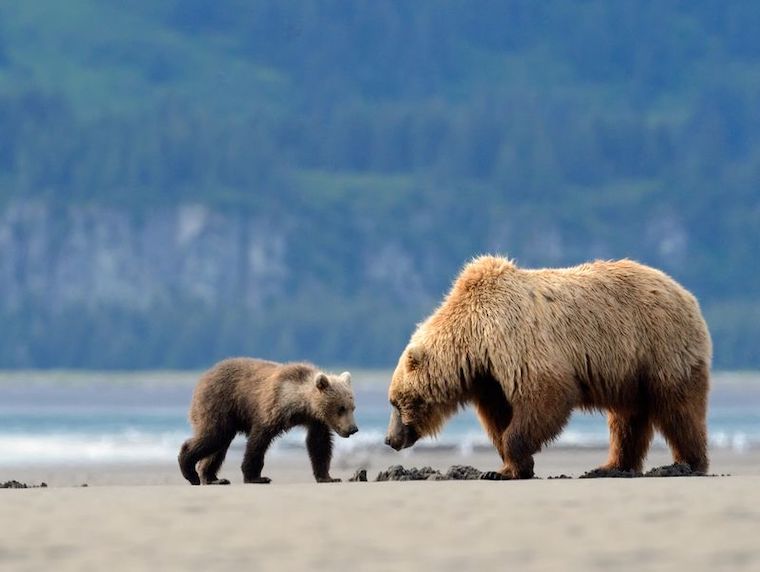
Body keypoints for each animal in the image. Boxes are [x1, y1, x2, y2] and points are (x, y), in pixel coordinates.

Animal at [179, 358, 358, 485]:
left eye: (352, 407)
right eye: (340, 408)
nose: (353, 429)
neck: (300, 404)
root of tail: (204, 376)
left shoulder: (315, 421)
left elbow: (319, 444)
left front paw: (328, 477)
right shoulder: (272, 408)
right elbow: (258, 441)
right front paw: (256, 477)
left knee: (219, 445)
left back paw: (213, 478)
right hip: (219, 404)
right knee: (214, 436)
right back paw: (190, 472)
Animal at [385, 256, 711, 479]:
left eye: (396, 402)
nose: (390, 439)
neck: (475, 342)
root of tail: (686, 294)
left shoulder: (515, 341)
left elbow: (545, 395)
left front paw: (508, 466)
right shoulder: (489, 378)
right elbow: (499, 417)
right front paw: (506, 467)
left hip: (660, 347)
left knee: (678, 408)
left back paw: (688, 463)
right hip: (629, 371)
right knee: (628, 419)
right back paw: (612, 466)